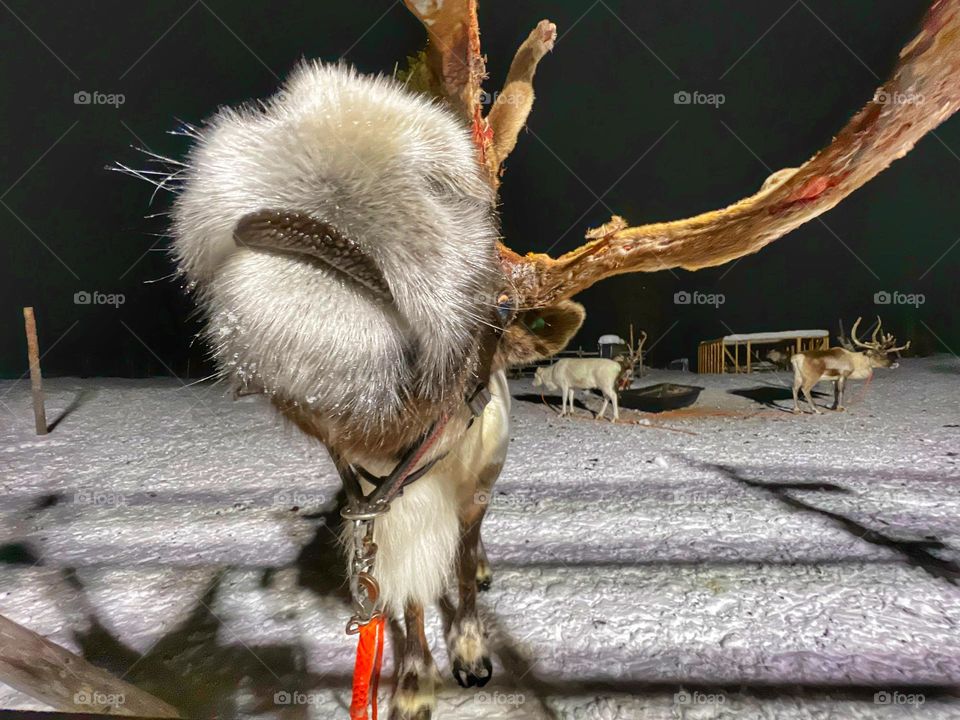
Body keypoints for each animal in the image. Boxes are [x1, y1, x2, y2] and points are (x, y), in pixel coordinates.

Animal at [142, 1, 960, 717]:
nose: (359, 122)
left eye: (497, 315)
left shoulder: (467, 490)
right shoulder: (374, 509)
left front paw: (471, 652)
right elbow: (403, 607)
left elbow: (458, 574)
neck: (399, 465)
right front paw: (411, 683)